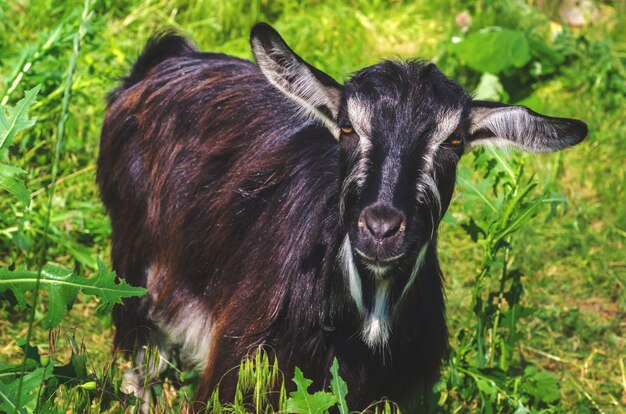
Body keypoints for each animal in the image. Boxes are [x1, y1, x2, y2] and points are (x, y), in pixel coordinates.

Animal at [97, 22, 584, 410]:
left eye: (454, 142)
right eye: (348, 128)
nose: (381, 228)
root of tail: (168, 61)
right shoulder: (238, 372)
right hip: (136, 253)